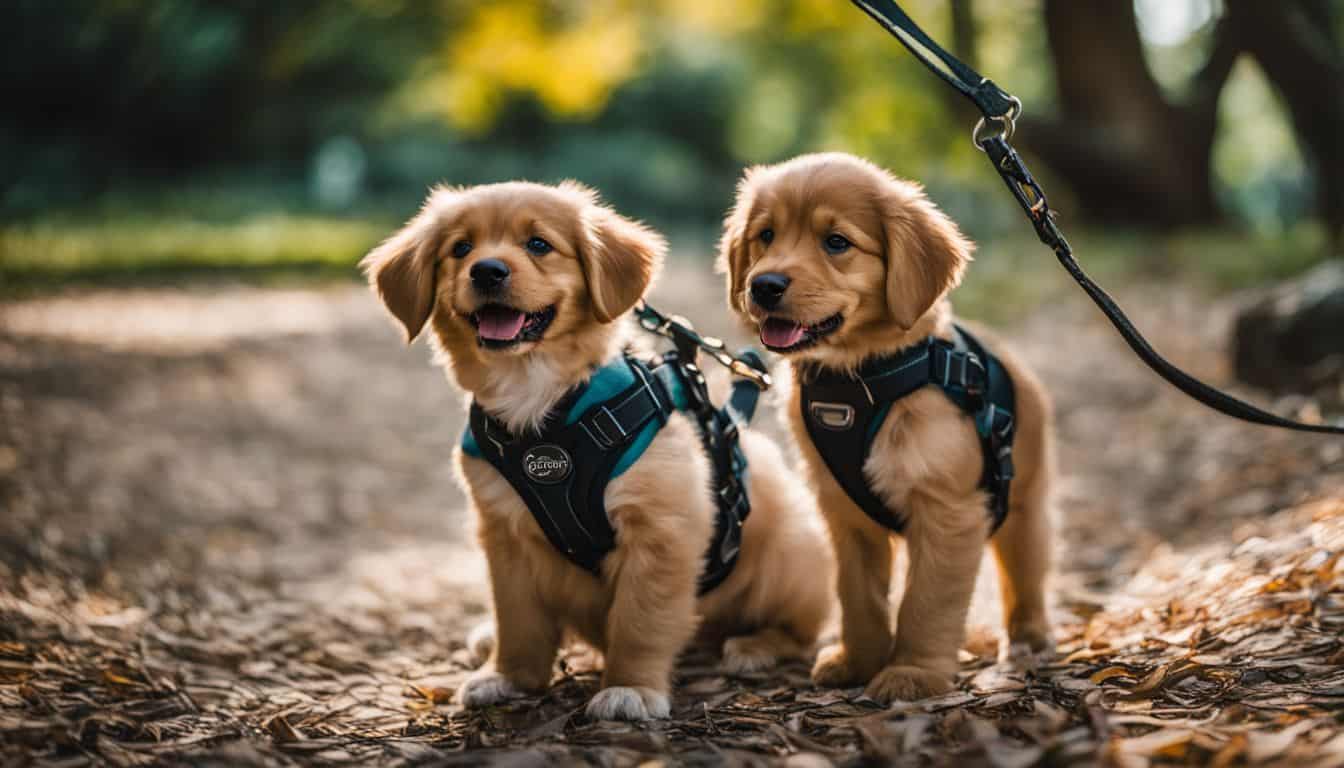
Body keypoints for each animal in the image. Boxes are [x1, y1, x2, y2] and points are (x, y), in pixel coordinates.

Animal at [362, 180, 833, 720]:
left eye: (539, 244)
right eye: (460, 249)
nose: (486, 270)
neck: (539, 398)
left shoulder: (660, 532)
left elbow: (639, 623)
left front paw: (631, 688)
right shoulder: (505, 535)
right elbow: (518, 619)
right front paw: (509, 677)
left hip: (789, 554)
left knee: (805, 630)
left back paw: (755, 646)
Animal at [720, 153, 1053, 704]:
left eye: (836, 242)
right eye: (766, 235)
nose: (763, 286)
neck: (860, 378)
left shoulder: (947, 511)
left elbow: (926, 602)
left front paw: (912, 673)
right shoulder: (844, 512)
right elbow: (859, 597)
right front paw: (859, 662)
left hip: (1025, 500)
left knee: (1026, 567)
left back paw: (1029, 636)